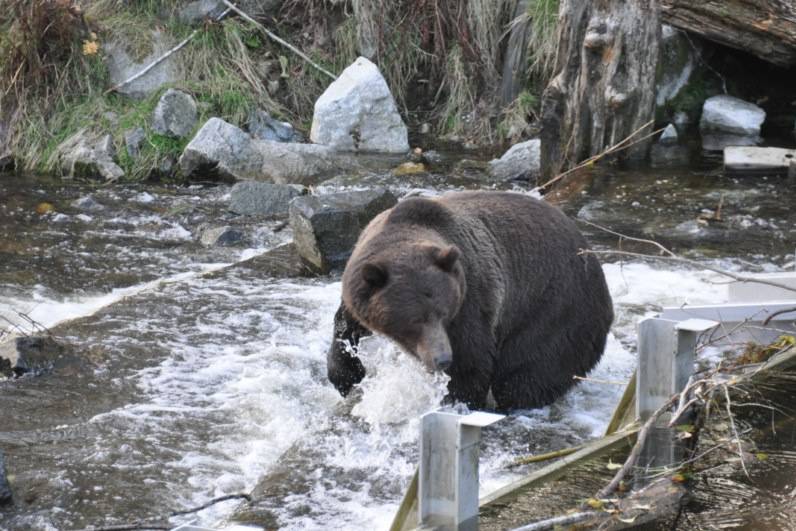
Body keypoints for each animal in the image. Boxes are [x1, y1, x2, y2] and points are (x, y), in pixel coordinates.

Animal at [326, 191, 612, 412]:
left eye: (444, 314)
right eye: (415, 319)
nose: (442, 358)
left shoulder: (472, 299)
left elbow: (471, 363)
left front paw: (456, 400)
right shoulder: (359, 295)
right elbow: (345, 329)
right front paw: (346, 376)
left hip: (555, 311)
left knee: (524, 375)